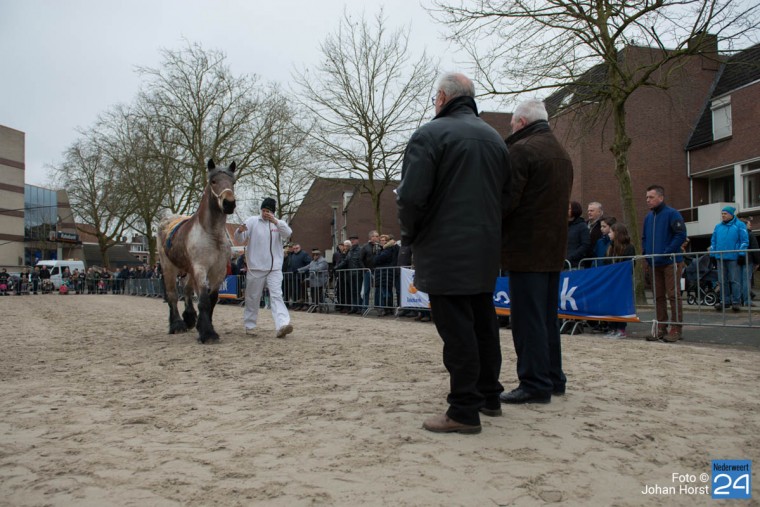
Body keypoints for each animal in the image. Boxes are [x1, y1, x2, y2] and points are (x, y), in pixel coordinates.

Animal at [156, 161, 236, 344]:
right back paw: (177, 325)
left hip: (188, 270)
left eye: (233, 182)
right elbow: (204, 300)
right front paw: (207, 333)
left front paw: (204, 326)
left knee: (185, 291)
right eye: (213, 181)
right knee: (172, 295)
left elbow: (211, 299)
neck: (212, 234)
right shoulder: (200, 268)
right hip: (168, 267)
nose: (229, 203)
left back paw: (189, 318)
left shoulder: (219, 271)